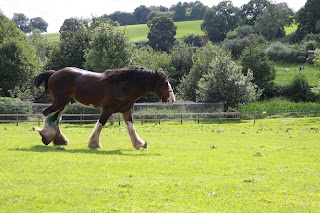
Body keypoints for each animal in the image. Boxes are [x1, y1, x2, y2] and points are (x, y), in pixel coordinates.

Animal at [34, 66, 175, 150]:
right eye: (164, 82)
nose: (171, 100)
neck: (123, 86)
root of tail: (54, 74)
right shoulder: (107, 110)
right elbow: (100, 125)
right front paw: (94, 144)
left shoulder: (126, 110)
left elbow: (131, 128)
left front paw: (139, 144)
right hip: (60, 102)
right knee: (47, 113)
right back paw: (46, 136)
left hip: (64, 103)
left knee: (55, 119)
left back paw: (59, 140)